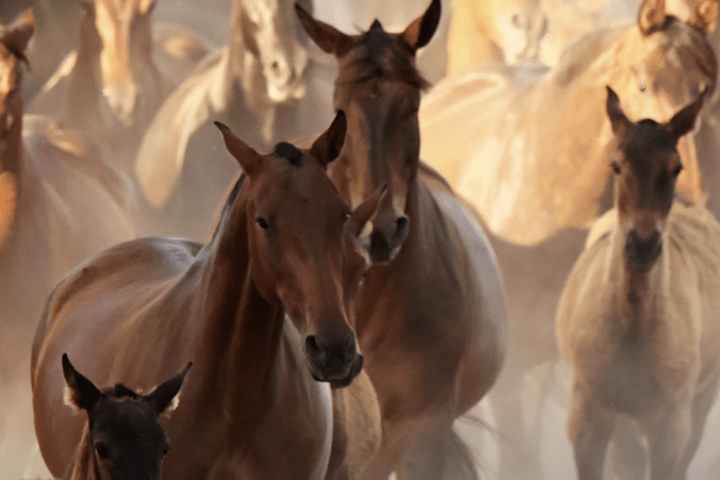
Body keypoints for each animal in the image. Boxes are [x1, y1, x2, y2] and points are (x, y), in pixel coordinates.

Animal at [556, 86, 720, 480]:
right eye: (616, 165)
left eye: (676, 168)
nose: (642, 246)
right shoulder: (588, 416)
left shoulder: (671, 426)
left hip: (700, 402)